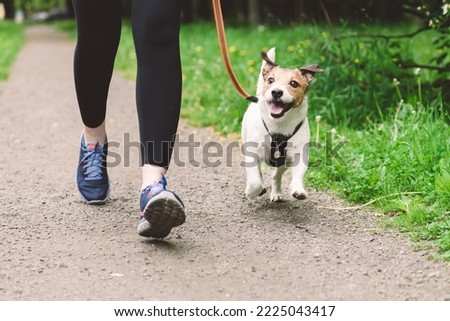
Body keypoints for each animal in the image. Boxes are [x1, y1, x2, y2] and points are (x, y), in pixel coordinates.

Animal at [241, 47, 322, 201]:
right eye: (271, 80)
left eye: (294, 83)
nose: (277, 92)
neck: (279, 126)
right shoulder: (252, 154)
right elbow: (255, 181)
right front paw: (252, 191)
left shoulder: (299, 155)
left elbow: (298, 173)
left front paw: (298, 190)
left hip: (285, 162)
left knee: (276, 175)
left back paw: (276, 192)